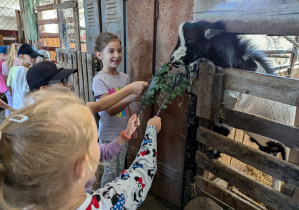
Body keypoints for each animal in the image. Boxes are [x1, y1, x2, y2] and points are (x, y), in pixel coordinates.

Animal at [170, 20, 296, 191]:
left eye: (191, 38)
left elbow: (220, 133)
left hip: (284, 148)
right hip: (268, 145)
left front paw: (213, 154)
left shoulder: (230, 110)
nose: (172, 59)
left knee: (281, 170)